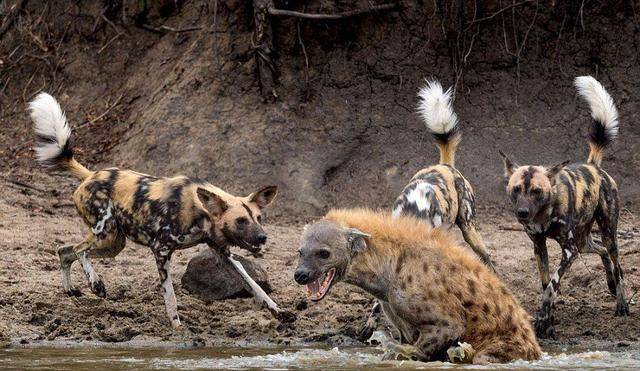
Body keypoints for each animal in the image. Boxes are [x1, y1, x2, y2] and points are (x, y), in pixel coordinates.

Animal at [29, 92, 290, 328]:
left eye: (258, 218)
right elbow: (170, 296)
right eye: (240, 221)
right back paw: (96, 284)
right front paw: (177, 327)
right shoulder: (161, 250)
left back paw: (71, 290)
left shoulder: (223, 253)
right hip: (106, 235)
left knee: (65, 251)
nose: (262, 237)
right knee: (79, 250)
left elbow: (253, 284)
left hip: (114, 244)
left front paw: (278, 311)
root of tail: (90, 174)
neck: (200, 212)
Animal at [296, 211, 540, 364]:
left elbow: (425, 343)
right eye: (300, 252)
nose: (300, 275)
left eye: (323, 253)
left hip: (509, 345)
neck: (387, 272)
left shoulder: (445, 321)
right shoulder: (396, 316)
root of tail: (534, 345)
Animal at [358, 80, 498, 340]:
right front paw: (369, 323)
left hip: (469, 229)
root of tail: (444, 166)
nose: (409, 337)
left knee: (486, 257)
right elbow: (375, 303)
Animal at [500, 76, 632, 340]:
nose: (522, 213)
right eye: (516, 189)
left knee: (617, 261)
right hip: (584, 240)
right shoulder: (540, 245)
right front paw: (548, 321)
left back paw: (621, 302)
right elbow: (546, 285)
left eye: (536, 191)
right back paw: (610, 285)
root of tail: (594, 166)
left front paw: (544, 320)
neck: (544, 214)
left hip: (606, 232)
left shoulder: (569, 251)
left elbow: (552, 285)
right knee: (602, 251)